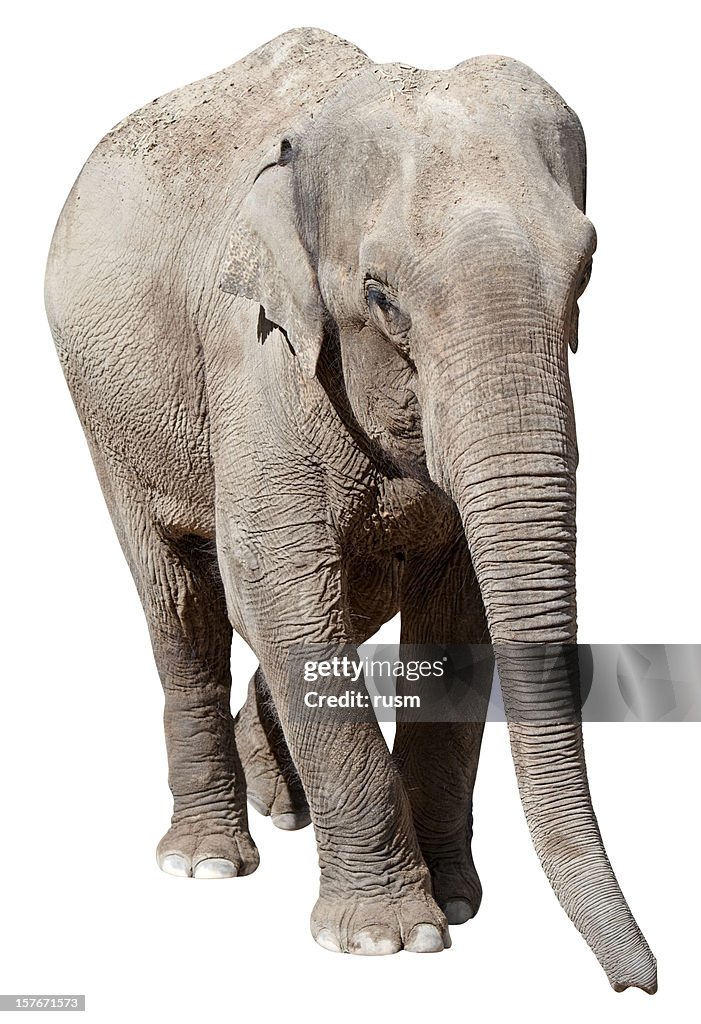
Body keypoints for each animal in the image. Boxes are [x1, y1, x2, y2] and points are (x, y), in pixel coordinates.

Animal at [45, 28, 654, 991]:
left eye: (586, 270)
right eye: (379, 296)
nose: (638, 983)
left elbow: (457, 615)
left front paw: (453, 904)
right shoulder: (255, 356)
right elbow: (278, 584)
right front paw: (388, 940)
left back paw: (280, 801)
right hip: (106, 415)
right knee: (183, 603)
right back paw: (206, 860)